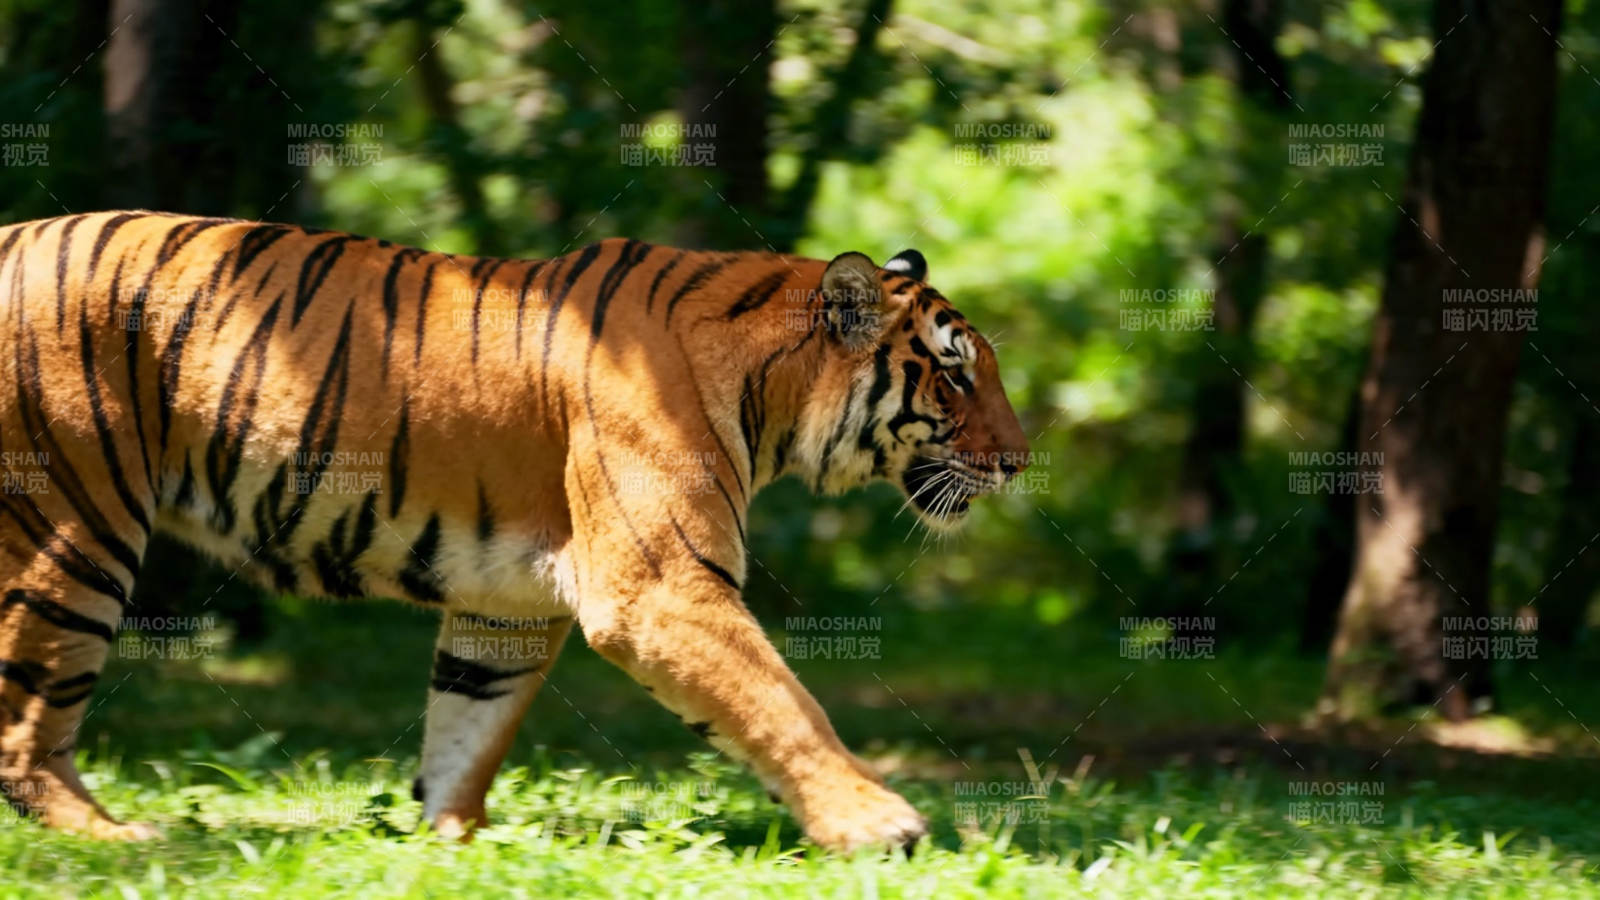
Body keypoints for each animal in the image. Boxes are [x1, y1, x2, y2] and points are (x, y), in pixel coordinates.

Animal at [0, 210, 1029, 851]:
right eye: (955, 375)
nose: (1021, 462)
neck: (768, 394)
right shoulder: (661, 591)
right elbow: (783, 702)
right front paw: (879, 824)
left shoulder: (505, 607)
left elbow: (468, 729)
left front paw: (454, 843)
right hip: (75, 530)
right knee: (28, 732)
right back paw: (117, 839)